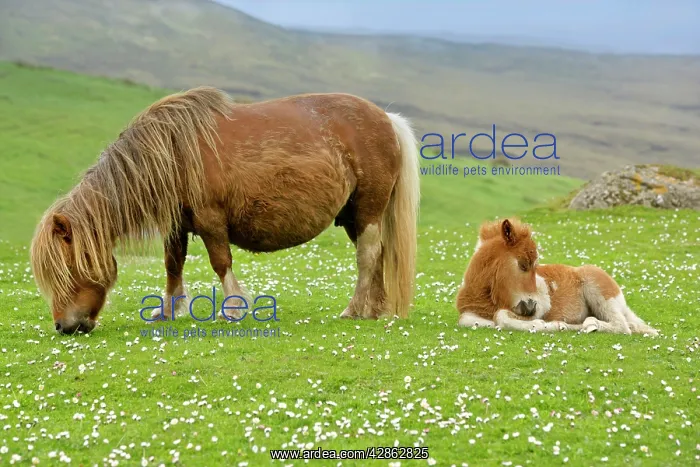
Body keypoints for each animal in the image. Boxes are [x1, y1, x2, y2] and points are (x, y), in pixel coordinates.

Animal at [30, 87, 421, 334]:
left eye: (67, 270)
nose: (64, 326)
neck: (173, 151)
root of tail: (387, 119)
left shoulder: (210, 219)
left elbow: (221, 262)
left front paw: (232, 308)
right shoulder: (178, 224)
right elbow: (173, 265)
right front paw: (168, 310)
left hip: (368, 211)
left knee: (367, 257)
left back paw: (354, 310)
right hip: (355, 216)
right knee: (377, 256)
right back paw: (375, 310)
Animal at [455, 218, 659, 335]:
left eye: (533, 266)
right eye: (523, 264)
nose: (531, 306)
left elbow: (502, 317)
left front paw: (549, 325)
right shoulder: (470, 316)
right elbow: (470, 320)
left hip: (601, 294)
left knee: (622, 326)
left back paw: (591, 324)